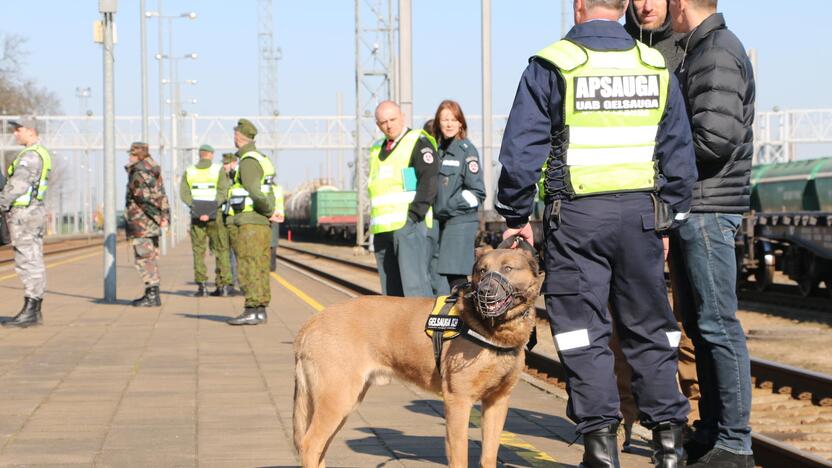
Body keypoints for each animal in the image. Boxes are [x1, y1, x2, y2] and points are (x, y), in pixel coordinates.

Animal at [292, 247, 540, 466]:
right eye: (481, 270)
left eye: (508, 268)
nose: (485, 292)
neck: (492, 331)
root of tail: (312, 322)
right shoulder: (458, 401)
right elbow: (459, 457)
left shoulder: (497, 403)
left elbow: (488, 456)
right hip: (337, 398)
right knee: (310, 445)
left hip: (343, 403)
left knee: (319, 449)